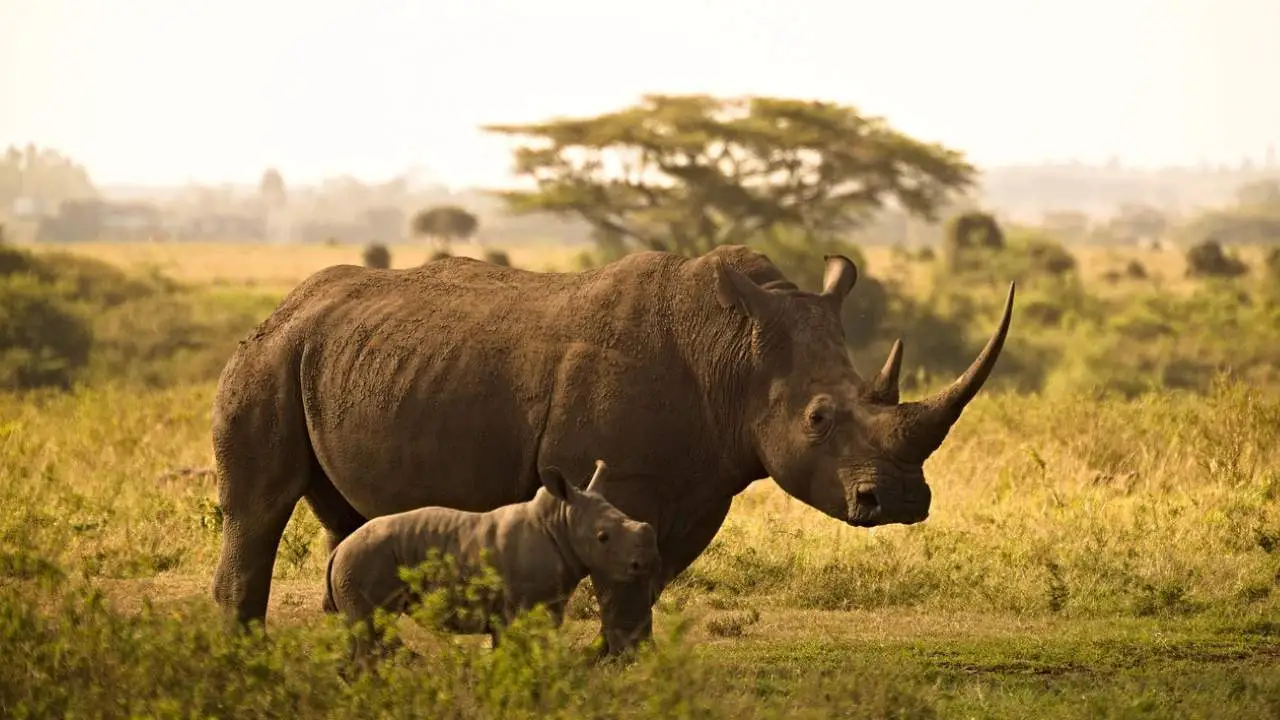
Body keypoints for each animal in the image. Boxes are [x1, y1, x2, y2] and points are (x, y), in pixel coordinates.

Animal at [322, 459, 659, 660]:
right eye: (603, 537)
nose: (645, 563)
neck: (561, 522)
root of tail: (338, 552)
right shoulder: (522, 607)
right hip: (364, 561)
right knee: (371, 631)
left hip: (358, 562)